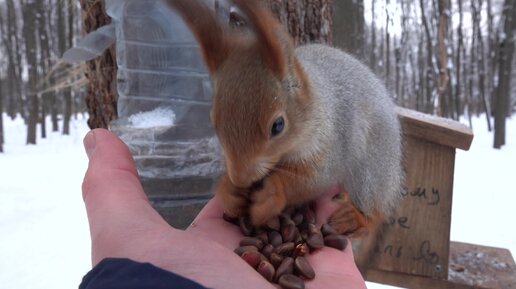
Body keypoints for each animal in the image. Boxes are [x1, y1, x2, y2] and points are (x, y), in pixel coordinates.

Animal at [165, 0, 404, 235]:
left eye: (278, 125)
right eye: (213, 121)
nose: (241, 178)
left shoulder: (331, 143)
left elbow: (310, 179)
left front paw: (272, 193)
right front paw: (229, 191)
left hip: (372, 168)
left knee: (373, 209)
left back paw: (353, 217)